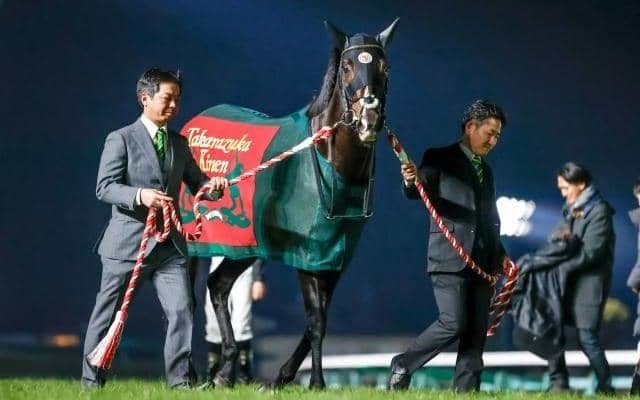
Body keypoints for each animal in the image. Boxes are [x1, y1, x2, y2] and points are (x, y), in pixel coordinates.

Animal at [198, 19, 398, 389]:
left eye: (384, 66)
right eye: (347, 66)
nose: (369, 118)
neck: (326, 159)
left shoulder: (335, 257)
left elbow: (318, 318)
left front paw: (281, 376)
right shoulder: (306, 254)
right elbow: (316, 320)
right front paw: (316, 382)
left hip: (244, 247)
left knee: (218, 285)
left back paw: (223, 371)